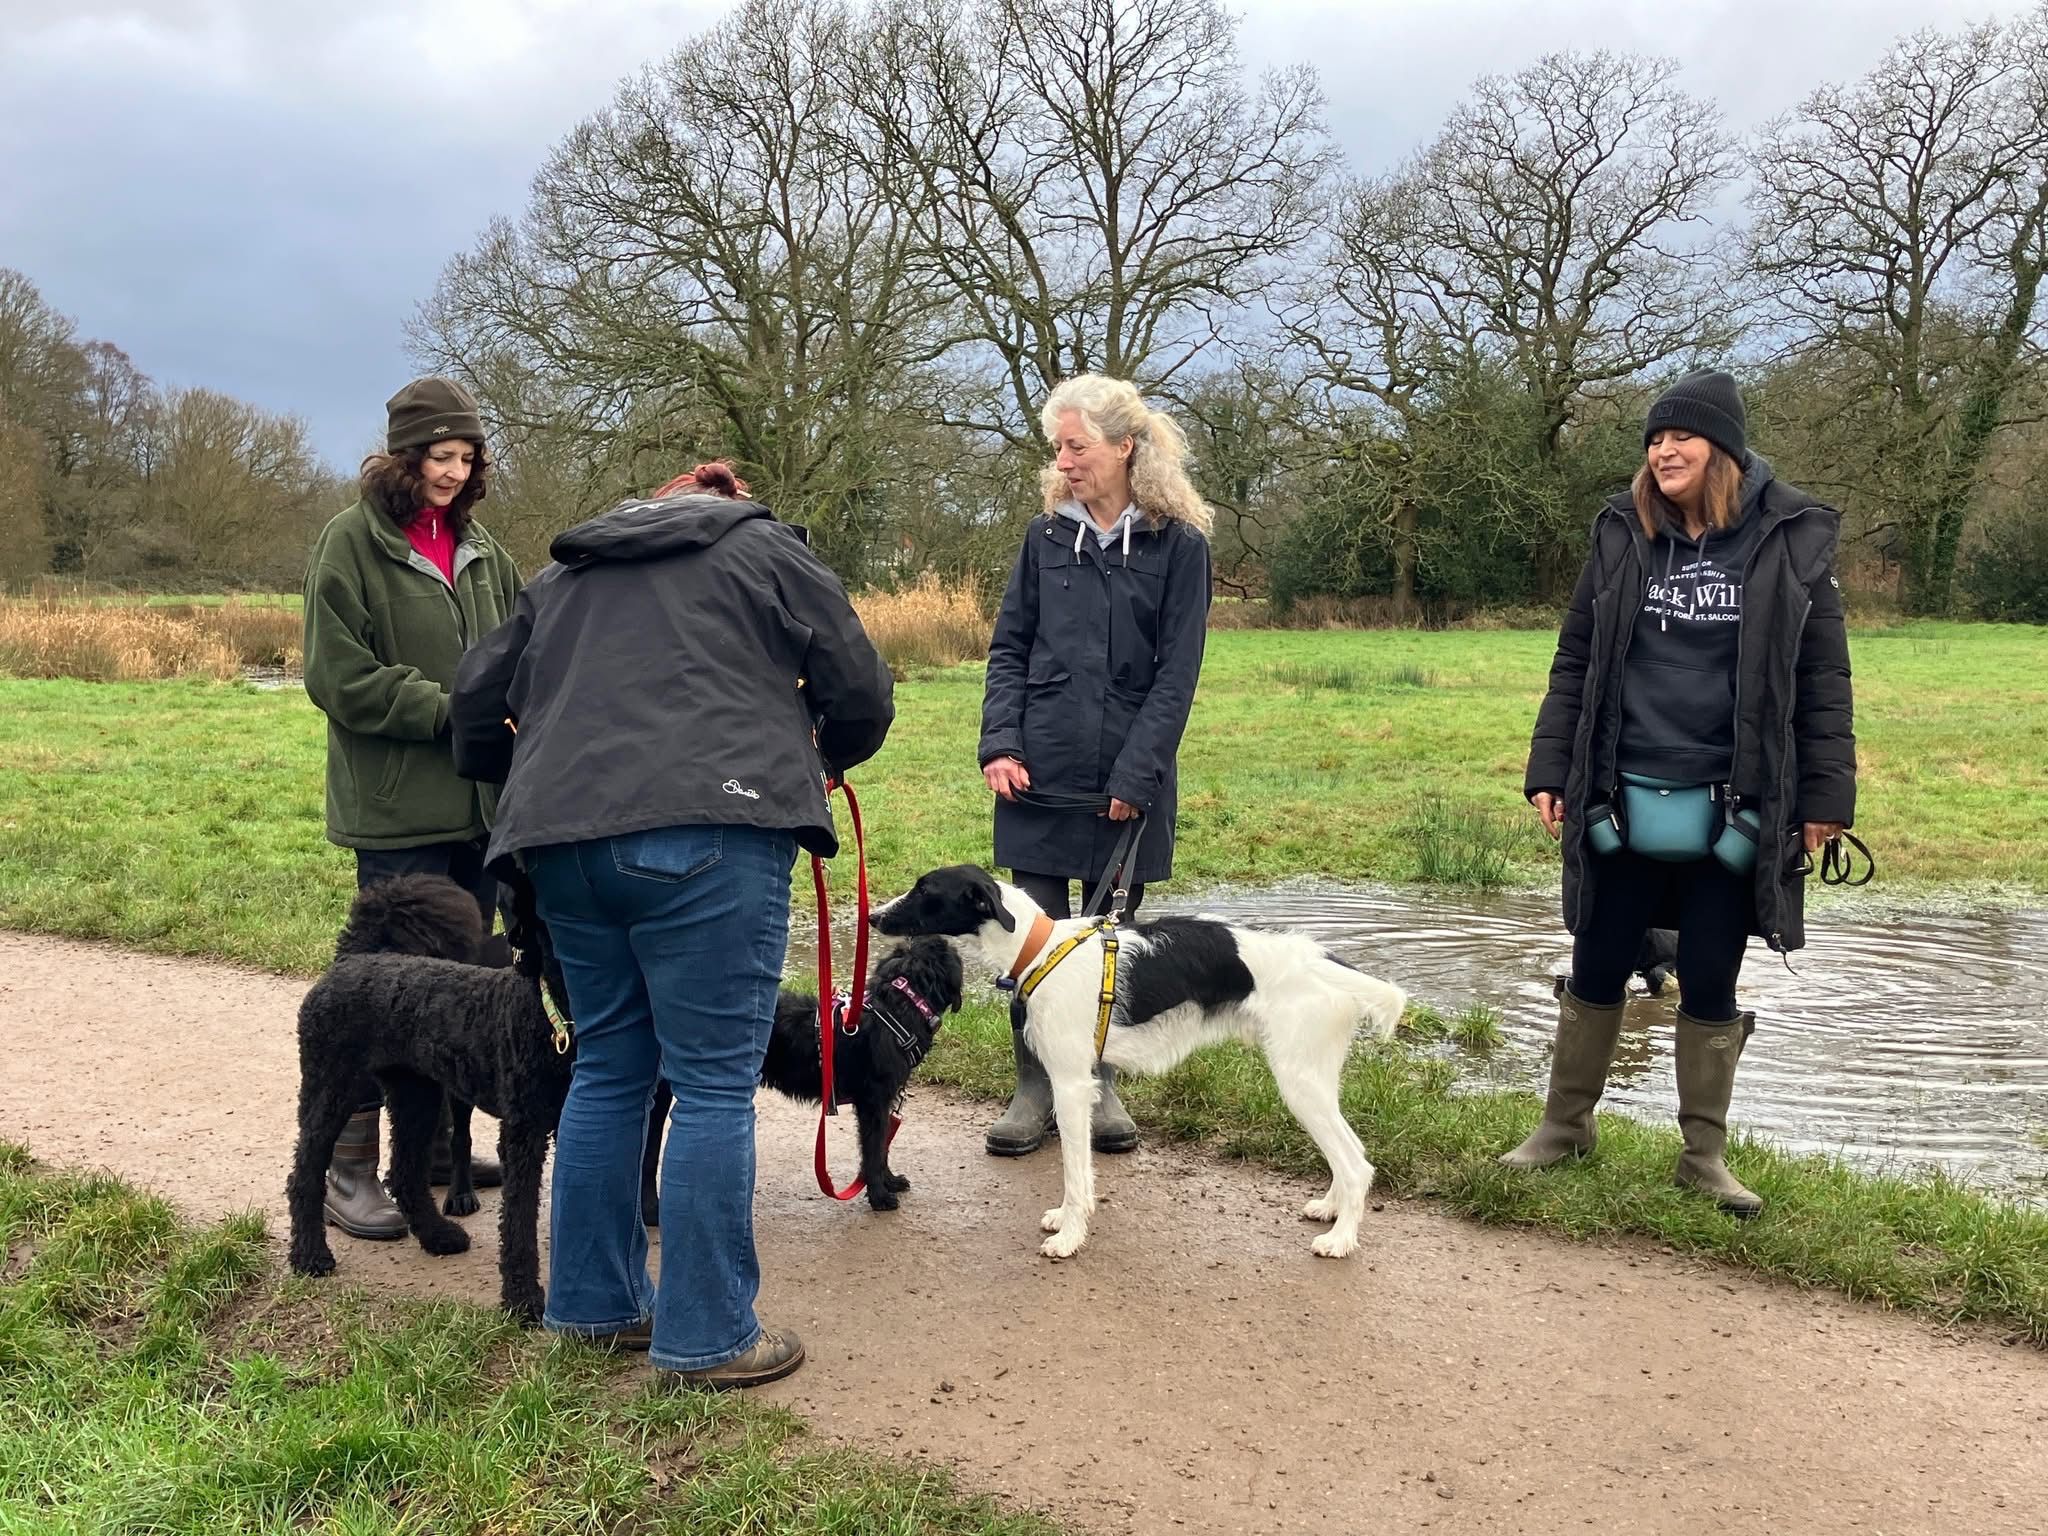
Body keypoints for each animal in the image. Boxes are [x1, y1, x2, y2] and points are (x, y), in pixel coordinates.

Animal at [288, 876, 577, 1327]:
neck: (550, 1016)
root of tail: (353, 957)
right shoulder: (523, 1131)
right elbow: (518, 1223)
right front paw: (523, 1299)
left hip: (416, 1096)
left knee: (406, 1172)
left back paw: (438, 1235)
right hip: (332, 1088)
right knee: (305, 1169)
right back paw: (310, 1255)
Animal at [634, 937, 962, 1228]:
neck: (898, 1007)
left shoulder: (880, 1104)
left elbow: (882, 1146)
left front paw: (890, 1181)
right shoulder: (874, 1103)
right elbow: (873, 1148)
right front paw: (879, 1195)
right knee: (647, 1155)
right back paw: (651, 1212)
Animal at [864, 868, 1409, 1261]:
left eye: (924, 890)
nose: (873, 916)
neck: (1041, 948)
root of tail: (1329, 964)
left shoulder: (1071, 1085)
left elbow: (1075, 1171)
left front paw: (1070, 1236)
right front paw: (1067, 1222)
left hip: (1299, 1082)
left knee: (1356, 1162)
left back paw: (1340, 1240)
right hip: (1315, 1079)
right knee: (1348, 1154)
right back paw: (1331, 1210)